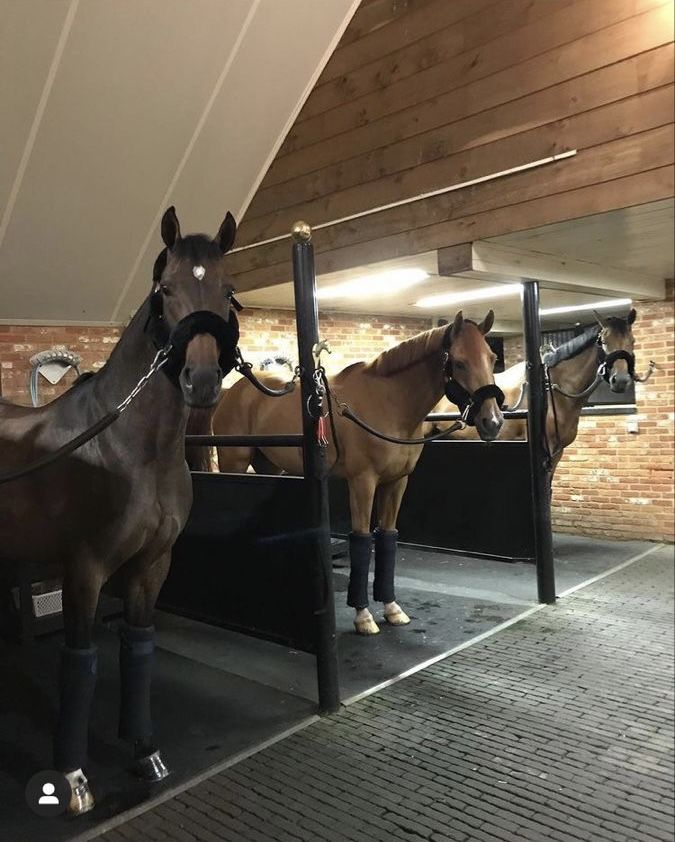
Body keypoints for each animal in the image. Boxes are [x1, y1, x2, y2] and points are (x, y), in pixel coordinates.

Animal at [0, 205, 243, 812]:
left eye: (228, 289)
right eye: (165, 289)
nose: (202, 381)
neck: (128, 445)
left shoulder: (153, 565)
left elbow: (138, 649)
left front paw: (145, 753)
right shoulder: (83, 569)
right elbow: (80, 660)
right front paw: (72, 778)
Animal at [198, 312, 504, 632]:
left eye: (492, 357)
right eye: (459, 362)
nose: (493, 421)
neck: (389, 402)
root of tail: (233, 392)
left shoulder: (397, 482)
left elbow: (387, 537)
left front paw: (392, 608)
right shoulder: (362, 482)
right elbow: (361, 539)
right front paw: (363, 616)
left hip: (268, 466)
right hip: (234, 463)